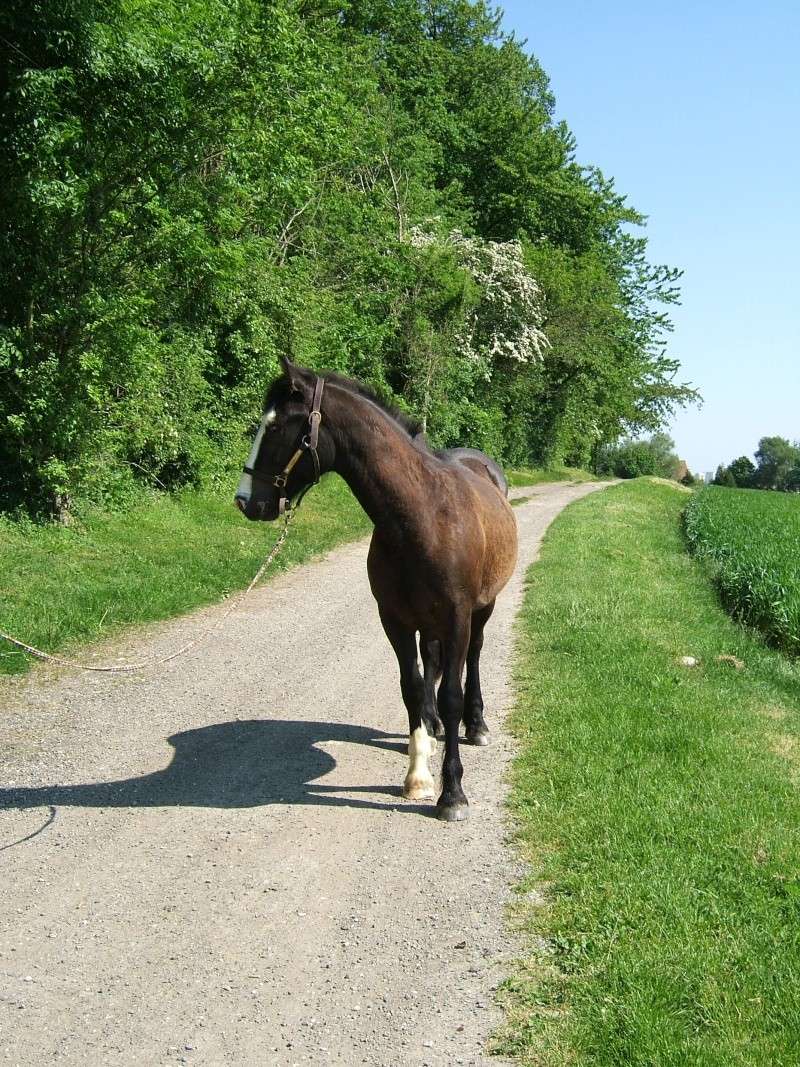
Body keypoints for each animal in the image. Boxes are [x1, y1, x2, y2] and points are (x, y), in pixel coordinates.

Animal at [233, 362, 520, 819]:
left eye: (276, 427)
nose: (246, 501)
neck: (422, 515)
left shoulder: (457, 616)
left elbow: (452, 694)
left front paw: (452, 793)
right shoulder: (395, 620)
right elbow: (412, 689)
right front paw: (418, 776)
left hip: (483, 607)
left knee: (473, 658)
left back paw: (476, 725)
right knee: (431, 663)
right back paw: (433, 727)